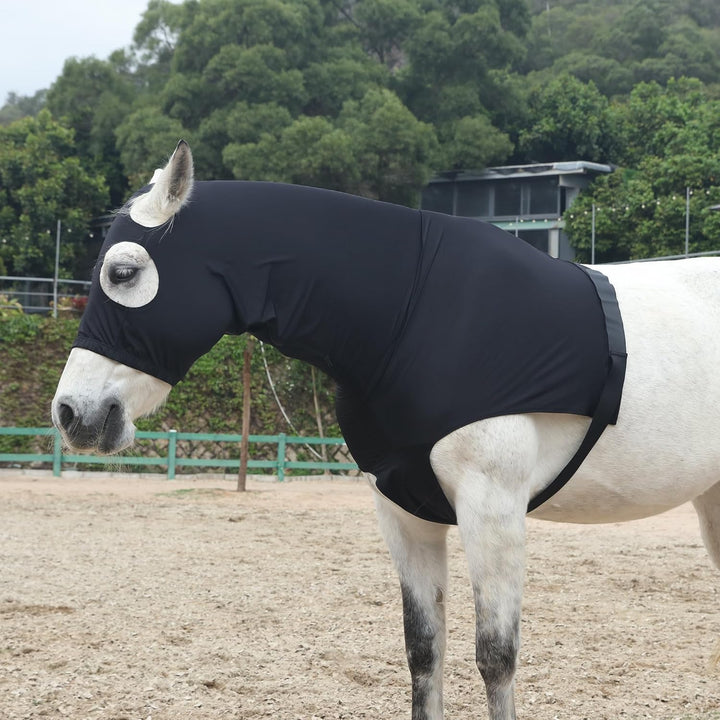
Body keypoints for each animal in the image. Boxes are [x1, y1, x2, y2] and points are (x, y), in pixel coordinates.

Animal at [52, 142, 720, 720]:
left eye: (123, 272)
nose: (71, 414)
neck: (411, 313)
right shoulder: (403, 510)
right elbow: (423, 649)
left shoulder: (493, 509)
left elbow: (496, 658)